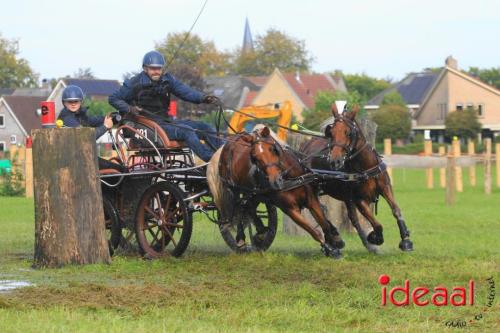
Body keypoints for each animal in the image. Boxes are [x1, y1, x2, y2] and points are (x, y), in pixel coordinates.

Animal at [209, 126, 346, 258]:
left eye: (273, 149)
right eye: (254, 157)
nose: (275, 181)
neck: (290, 179)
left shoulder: (311, 201)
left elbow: (324, 224)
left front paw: (334, 242)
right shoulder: (290, 210)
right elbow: (314, 231)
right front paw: (329, 249)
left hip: (255, 193)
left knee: (248, 208)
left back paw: (260, 232)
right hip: (235, 190)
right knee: (240, 209)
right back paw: (242, 239)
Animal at [300, 104, 414, 252]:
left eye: (348, 133)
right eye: (331, 133)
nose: (335, 161)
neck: (365, 168)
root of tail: (304, 148)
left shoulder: (385, 187)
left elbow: (396, 209)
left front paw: (406, 240)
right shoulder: (360, 199)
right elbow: (376, 223)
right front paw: (375, 237)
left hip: (345, 196)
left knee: (346, 216)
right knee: (323, 211)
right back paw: (339, 239)